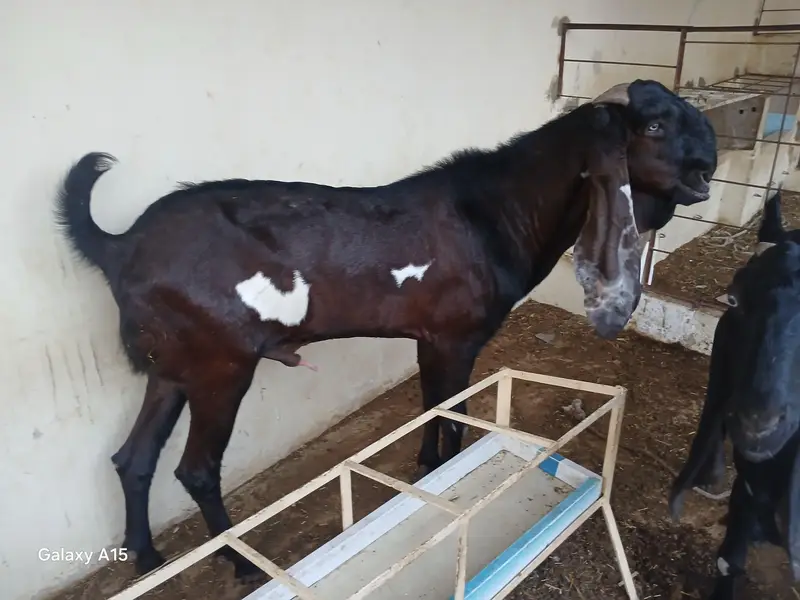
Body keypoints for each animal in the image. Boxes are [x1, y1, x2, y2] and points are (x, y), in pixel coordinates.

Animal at [54, 79, 717, 582]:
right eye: (652, 127)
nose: (707, 166)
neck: (493, 211)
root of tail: (121, 246)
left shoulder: (434, 340)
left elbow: (436, 408)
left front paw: (432, 468)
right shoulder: (454, 338)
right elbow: (452, 411)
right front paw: (446, 469)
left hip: (172, 366)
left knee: (133, 457)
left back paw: (146, 557)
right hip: (221, 365)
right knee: (194, 468)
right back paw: (241, 565)